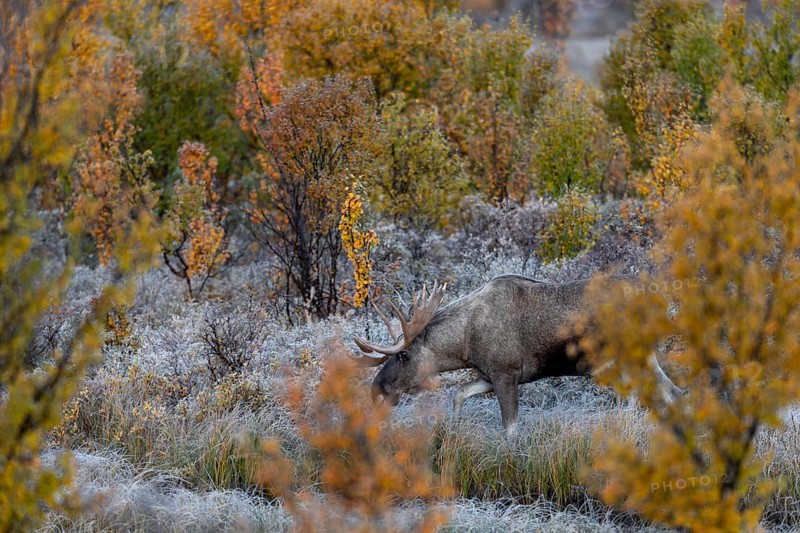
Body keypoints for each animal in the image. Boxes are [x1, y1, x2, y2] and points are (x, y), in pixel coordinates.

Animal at [350, 275, 682, 439]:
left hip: (630, 356)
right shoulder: (489, 375)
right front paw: (451, 430)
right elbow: (459, 394)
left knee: (661, 393)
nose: (377, 389)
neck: (465, 344)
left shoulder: (506, 373)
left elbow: (510, 430)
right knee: (669, 391)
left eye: (403, 354)